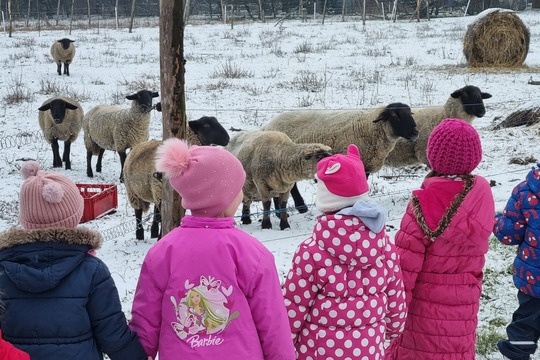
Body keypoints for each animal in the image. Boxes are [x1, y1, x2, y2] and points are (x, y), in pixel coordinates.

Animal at [262, 101, 418, 212]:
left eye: (410, 113)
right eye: (395, 115)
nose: (415, 133)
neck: (371, 128)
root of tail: (267, 126)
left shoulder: (365, 165)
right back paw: (301, 207)